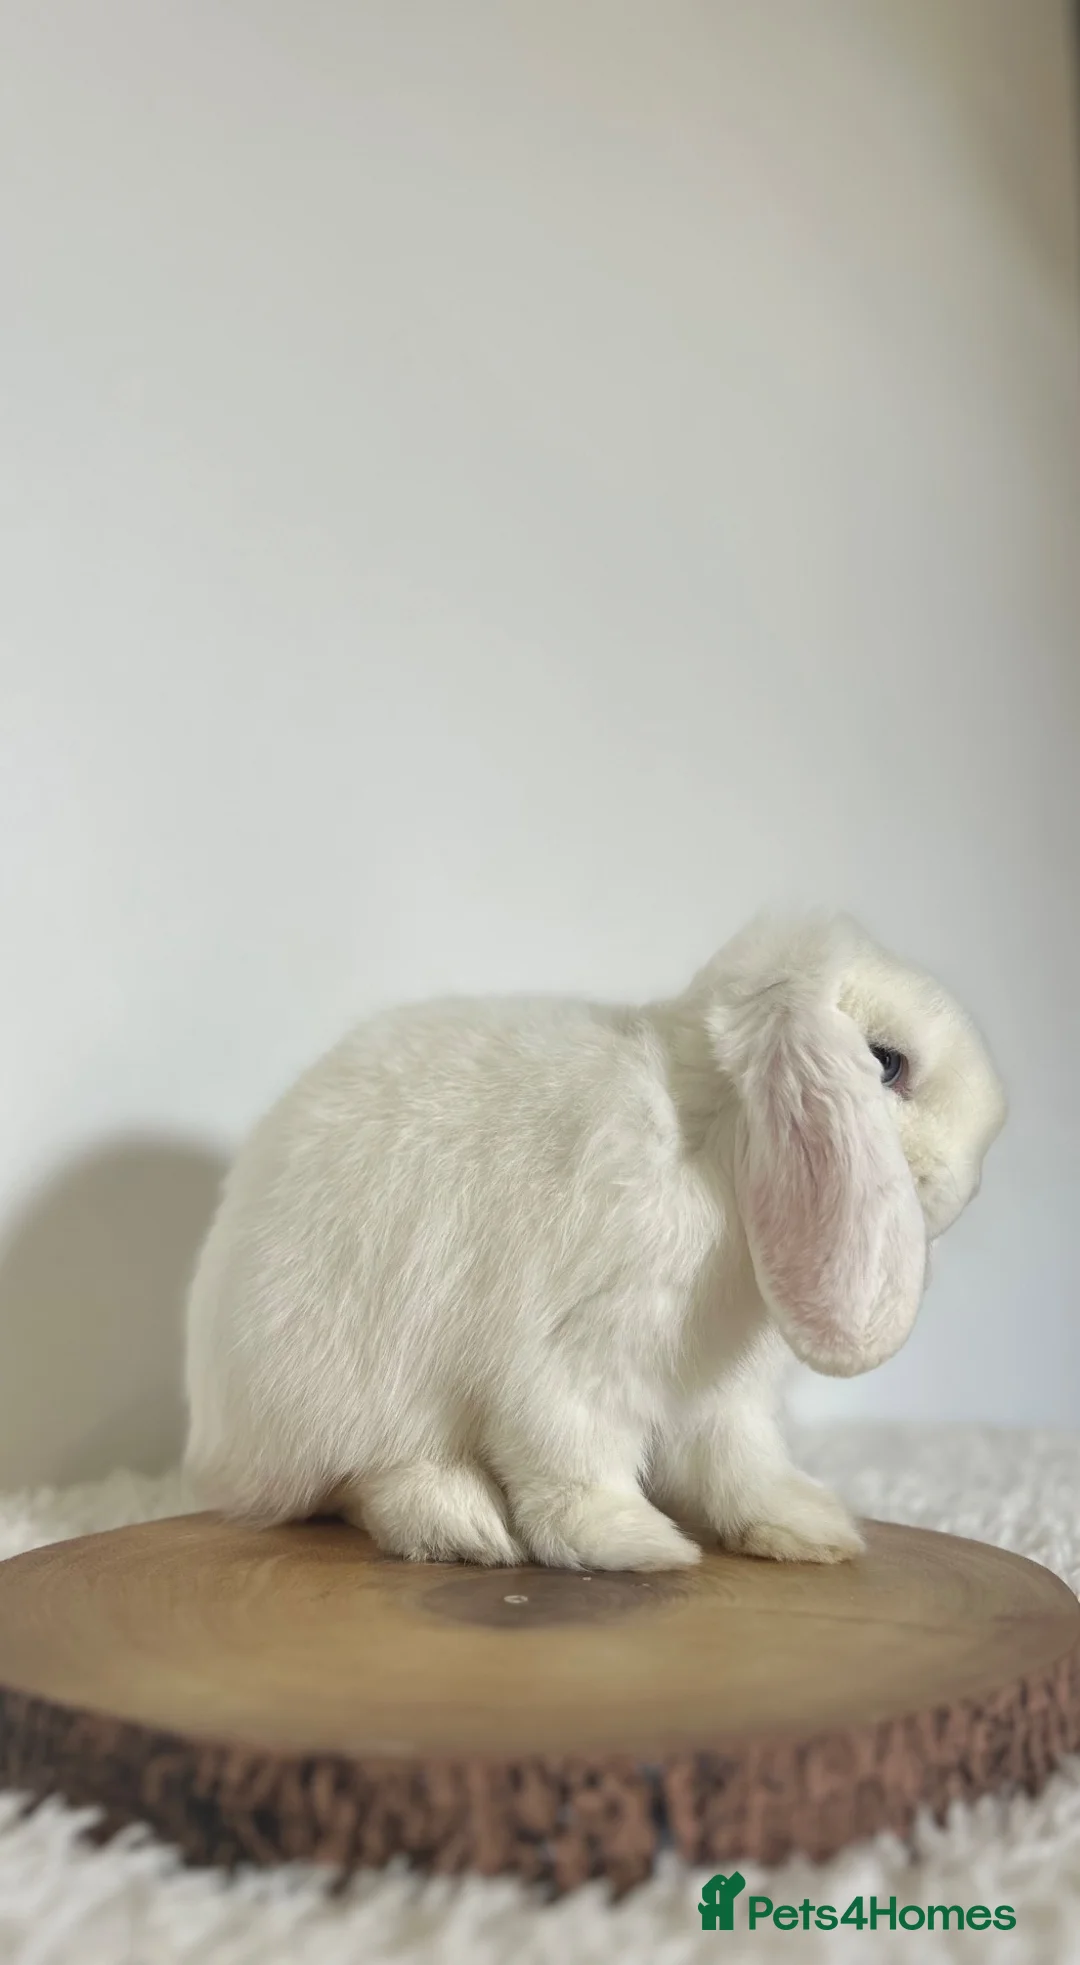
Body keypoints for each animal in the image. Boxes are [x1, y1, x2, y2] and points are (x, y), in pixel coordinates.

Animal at [184, 912, 1006, 1573]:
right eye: (887, 1063)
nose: (971, 1176)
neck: (711, 1140)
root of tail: (215, 1445)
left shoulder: (723, 1397)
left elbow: (741, 1464)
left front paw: (807, 1529)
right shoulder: (574, 1356)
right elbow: (573, 1467)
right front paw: (639, 1545)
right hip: (348, 1395)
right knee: (359, 1485)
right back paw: (463, 1524)